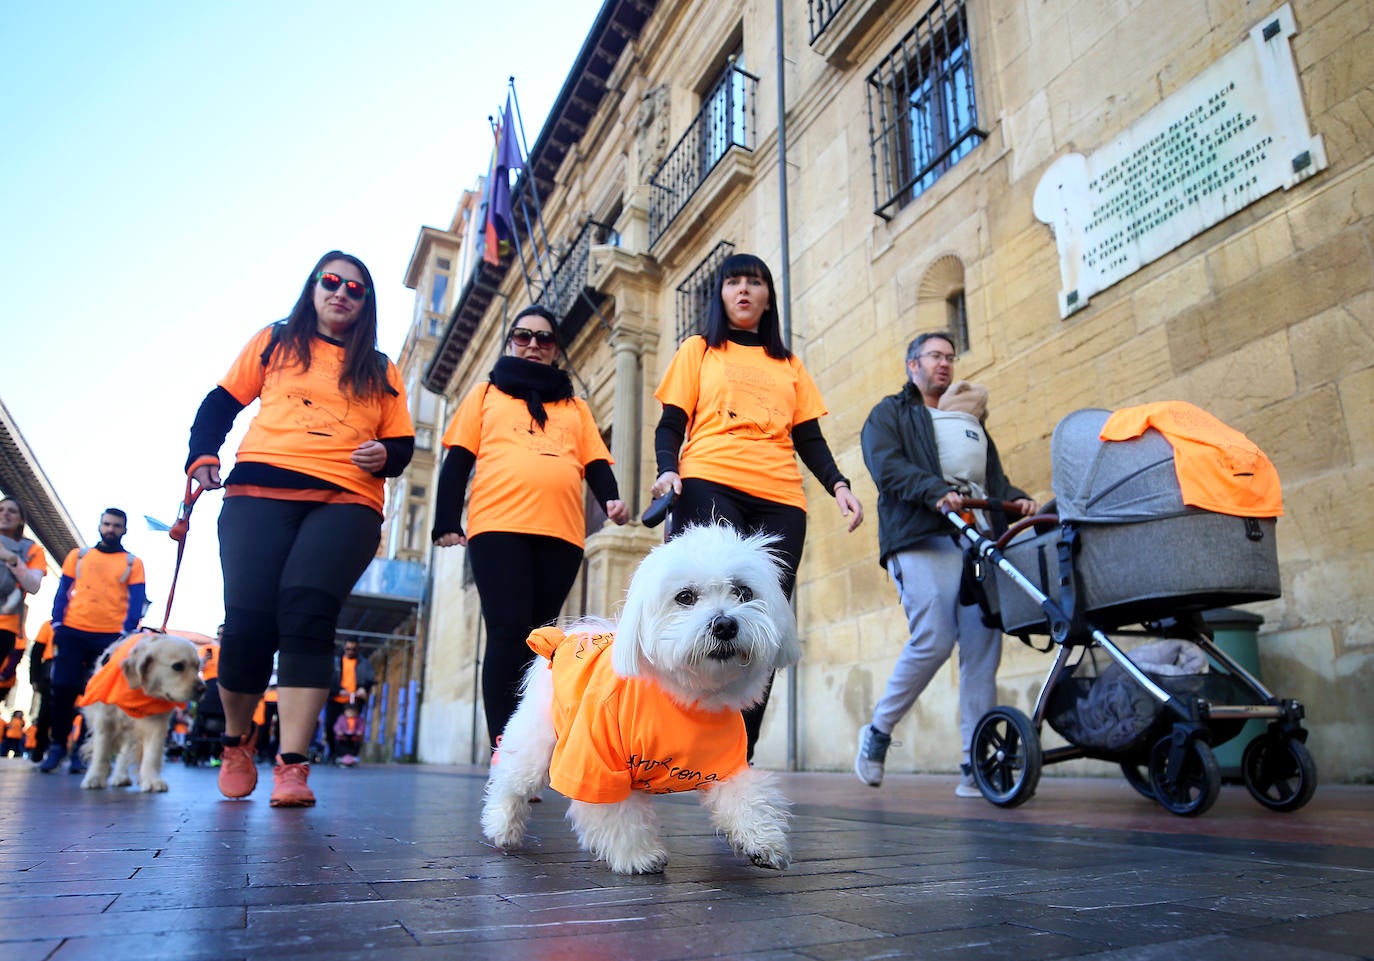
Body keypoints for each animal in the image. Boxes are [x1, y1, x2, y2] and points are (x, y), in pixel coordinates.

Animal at [78, 626, 203, 791]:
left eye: (197, 667)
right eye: (178, 666)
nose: (203, 689)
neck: (139, 692)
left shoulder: (157, 724)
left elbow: (152, 754)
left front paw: (152, 780)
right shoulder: (105, 720)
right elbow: (101, 752)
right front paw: (94, 777)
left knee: (125, 753)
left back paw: (121, 776)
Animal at [486, 522, 802, 874]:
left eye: (744, 592)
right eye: (685, 597)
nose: (725, 625)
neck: (685, 695)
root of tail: (563, 642)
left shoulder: (725, 763)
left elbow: (746, 796)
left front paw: (761, 840)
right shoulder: (599, 760)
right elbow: (618, 813)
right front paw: (638, 855)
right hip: (538, 741)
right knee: (511, 780)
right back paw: (502, 827)